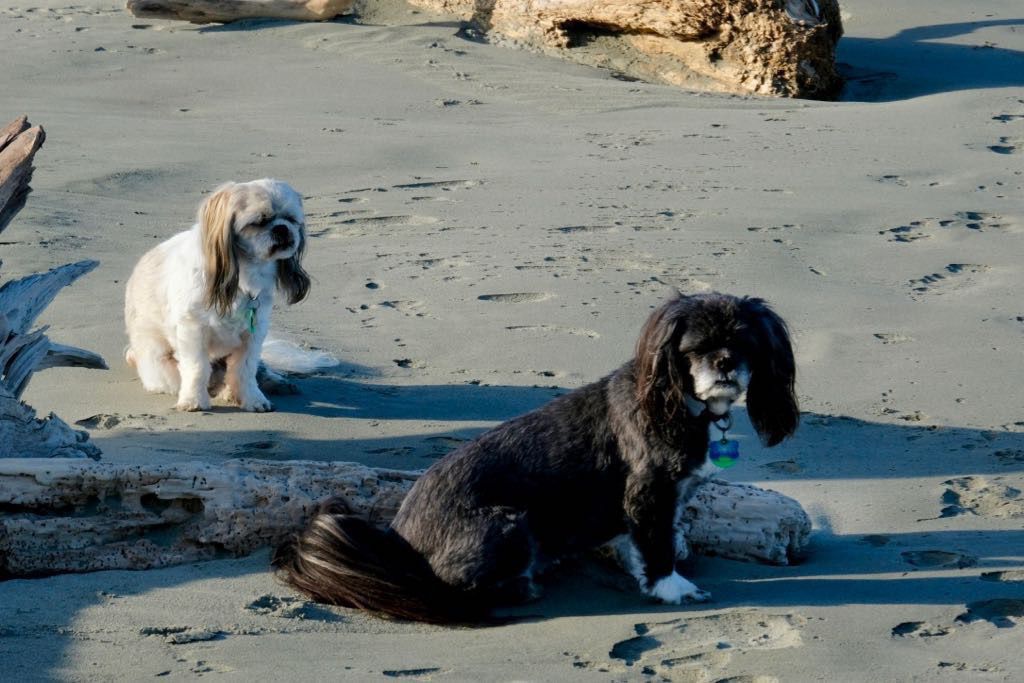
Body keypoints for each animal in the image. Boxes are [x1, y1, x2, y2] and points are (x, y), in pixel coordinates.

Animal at [125, 179, 313, 411]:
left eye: (292, 220)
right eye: (259, 221)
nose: (282, 229)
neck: (243, 275)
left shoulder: (253, 333)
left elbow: (245, 370)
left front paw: (252, 398)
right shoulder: (193, 331)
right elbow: (197, 369)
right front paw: (194, 400)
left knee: (256, 369)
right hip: (159, 365)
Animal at [274, 290, 798, 622]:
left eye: (745, 342)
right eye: (696, 348)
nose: (725, 363)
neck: (677, 400)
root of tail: (402, 543)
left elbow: (645, 541)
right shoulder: (649, 492)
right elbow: (657, 545)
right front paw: (671, 588)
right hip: (508, 522)